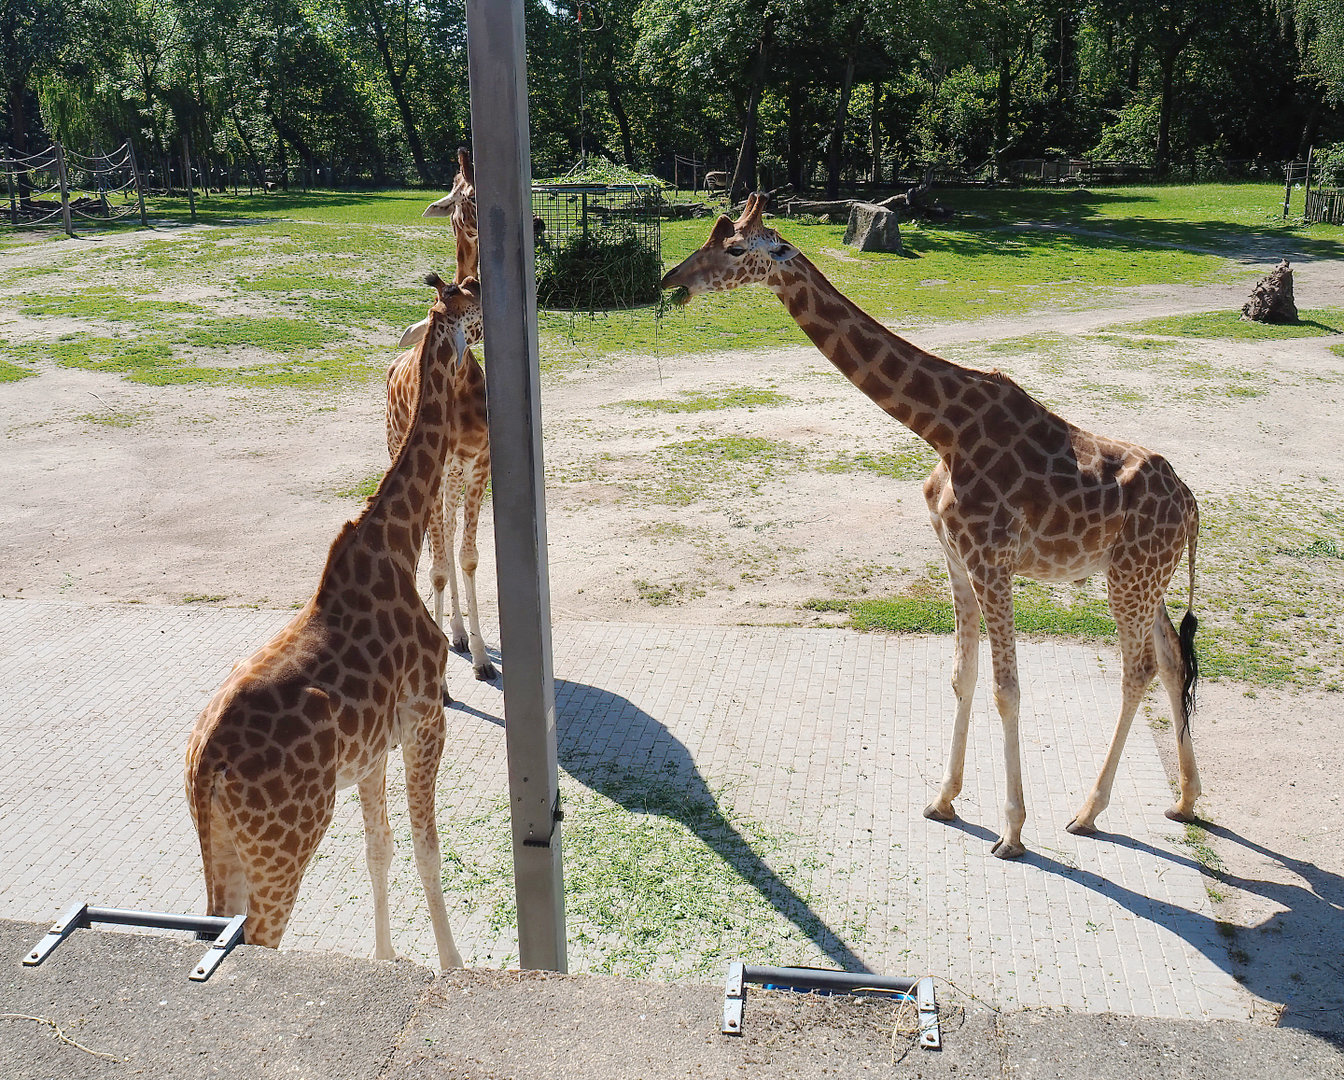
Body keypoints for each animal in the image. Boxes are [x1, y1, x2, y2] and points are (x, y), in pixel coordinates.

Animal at [184, 273, 482, 965]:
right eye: (469, 297)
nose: (485, 296)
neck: (395, 541)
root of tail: (203, 771)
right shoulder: (426, 720)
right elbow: (427, 852)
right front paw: (451, 963)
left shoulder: (372, 752)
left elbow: (381, 850)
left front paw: (386, 958)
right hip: (286, 844)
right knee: (257, 937)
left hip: (226, 846)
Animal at [661, 194, 1202, 859]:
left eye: (736, 248)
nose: (672, 282)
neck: (941, 429)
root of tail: (1192, 504)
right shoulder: (955, 555)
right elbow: (961, 677)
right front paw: (944, 799)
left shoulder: (992, 559)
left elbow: (1005, 689)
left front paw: (1012, 831)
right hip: (1143, 577)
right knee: (1173, 659)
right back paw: (1184, 800)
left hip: (1130, 579)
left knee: (1137, 670)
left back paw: (1087, 811)